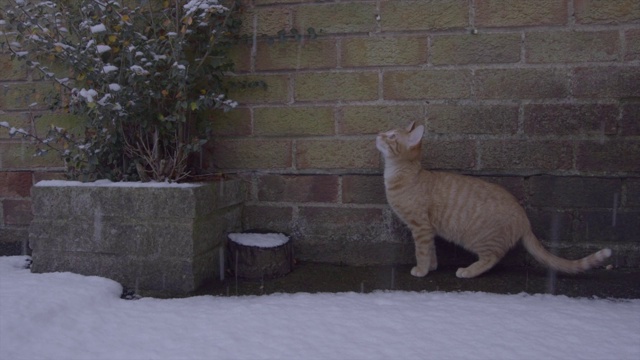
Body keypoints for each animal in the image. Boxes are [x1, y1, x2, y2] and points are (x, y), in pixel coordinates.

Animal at [378, 121, 612, 278]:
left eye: (392, 136)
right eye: (386, 132)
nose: (378, 134)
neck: (403, 174)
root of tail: (524, 218)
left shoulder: (420, 227)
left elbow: (422, 251)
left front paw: (422, 269)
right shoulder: (429, 229)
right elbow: (432, 250)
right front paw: (432, 266)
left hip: (480, 239)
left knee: (492, 258)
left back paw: (468, 270)